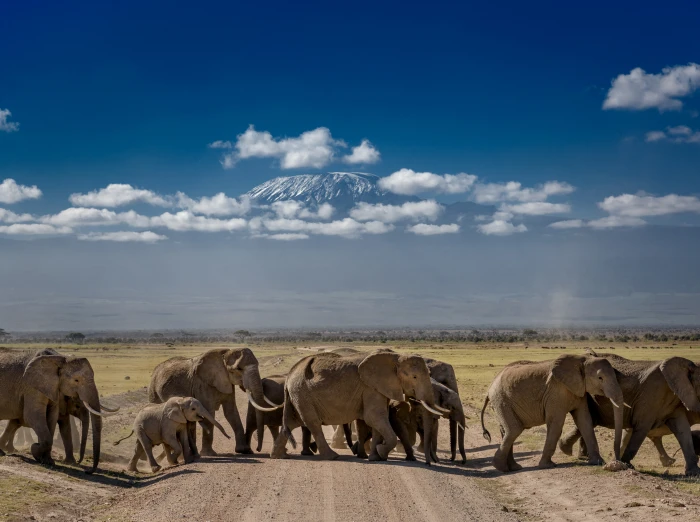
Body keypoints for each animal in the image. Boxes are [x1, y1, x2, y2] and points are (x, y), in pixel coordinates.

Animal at [149, 348, 281, 457]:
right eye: (239, 369)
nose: (257, 449)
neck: (224, 355)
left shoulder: (227, 382)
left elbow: (231, 412)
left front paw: (243, 450)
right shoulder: (202, 384)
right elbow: (209, 412)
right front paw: (209, 454)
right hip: (153, 391)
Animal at [270, 350, 445, 461]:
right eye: (414, 377)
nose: (432, 462)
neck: (396, 357)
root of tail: (289, 375)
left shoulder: (378, 388)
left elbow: (376, 421)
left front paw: (375, 457)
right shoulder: (370, 388)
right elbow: (373, 417)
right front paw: (381, 452)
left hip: (299, 395)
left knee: (293, 422)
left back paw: (278, 456)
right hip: (302, 394)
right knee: (313, 423)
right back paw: (332, 456)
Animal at [480, 354, 624, 472]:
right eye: (600, 378)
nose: (616, 460)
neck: (582, 359)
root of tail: (490, 387)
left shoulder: (579, 390)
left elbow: (585, 421)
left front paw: (598, 462)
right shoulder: (556, 393)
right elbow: (556, 423)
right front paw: (547, 466)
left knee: (506, 430)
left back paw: (513, 467)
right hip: (501, 400)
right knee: (514, 429)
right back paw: (501, 468)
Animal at [558, 353, 700, 476]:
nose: (616, 460)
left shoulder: (676, 398)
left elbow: (682, 429)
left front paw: (693, 473)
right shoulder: (651, 396)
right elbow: (642, 427)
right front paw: (626, 465)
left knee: (589, 421)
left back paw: (576, 453)